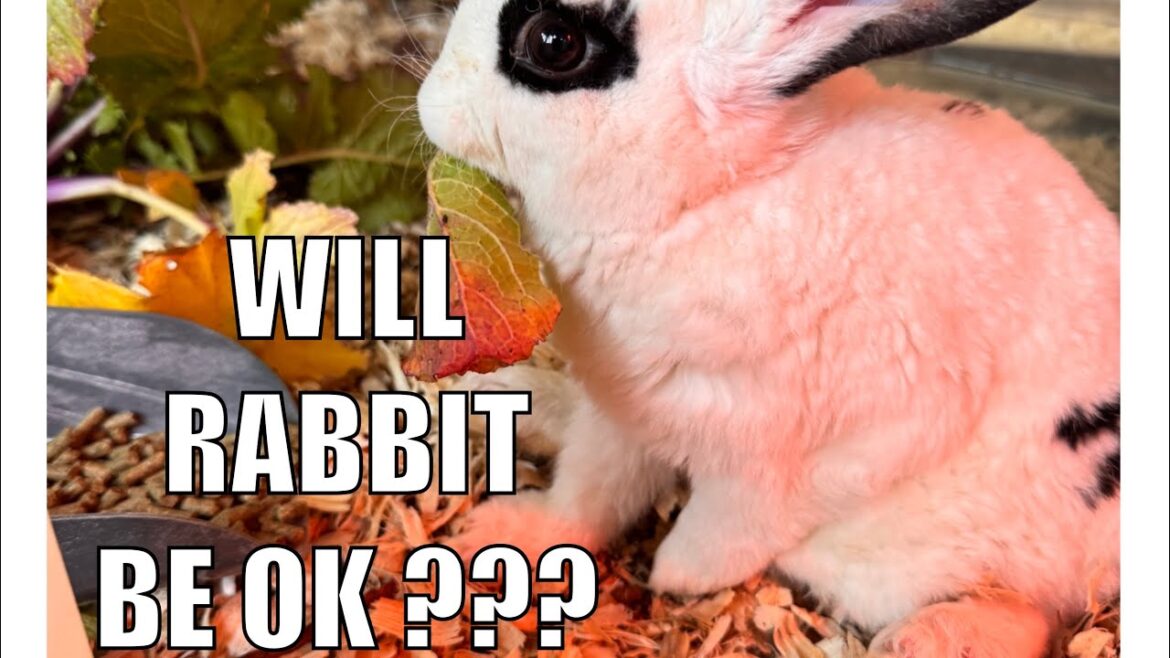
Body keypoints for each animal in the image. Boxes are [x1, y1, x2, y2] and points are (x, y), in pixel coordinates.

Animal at [417, 0, 1120, 655]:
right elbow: (589, 493)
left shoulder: (845, 441)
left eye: (553, 42)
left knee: (1025, 613)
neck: (708, 200)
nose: (429, 105)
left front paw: (676, 573)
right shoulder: (627, 412)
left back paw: (922, 639)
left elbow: (735, 522)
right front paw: (499, 537)